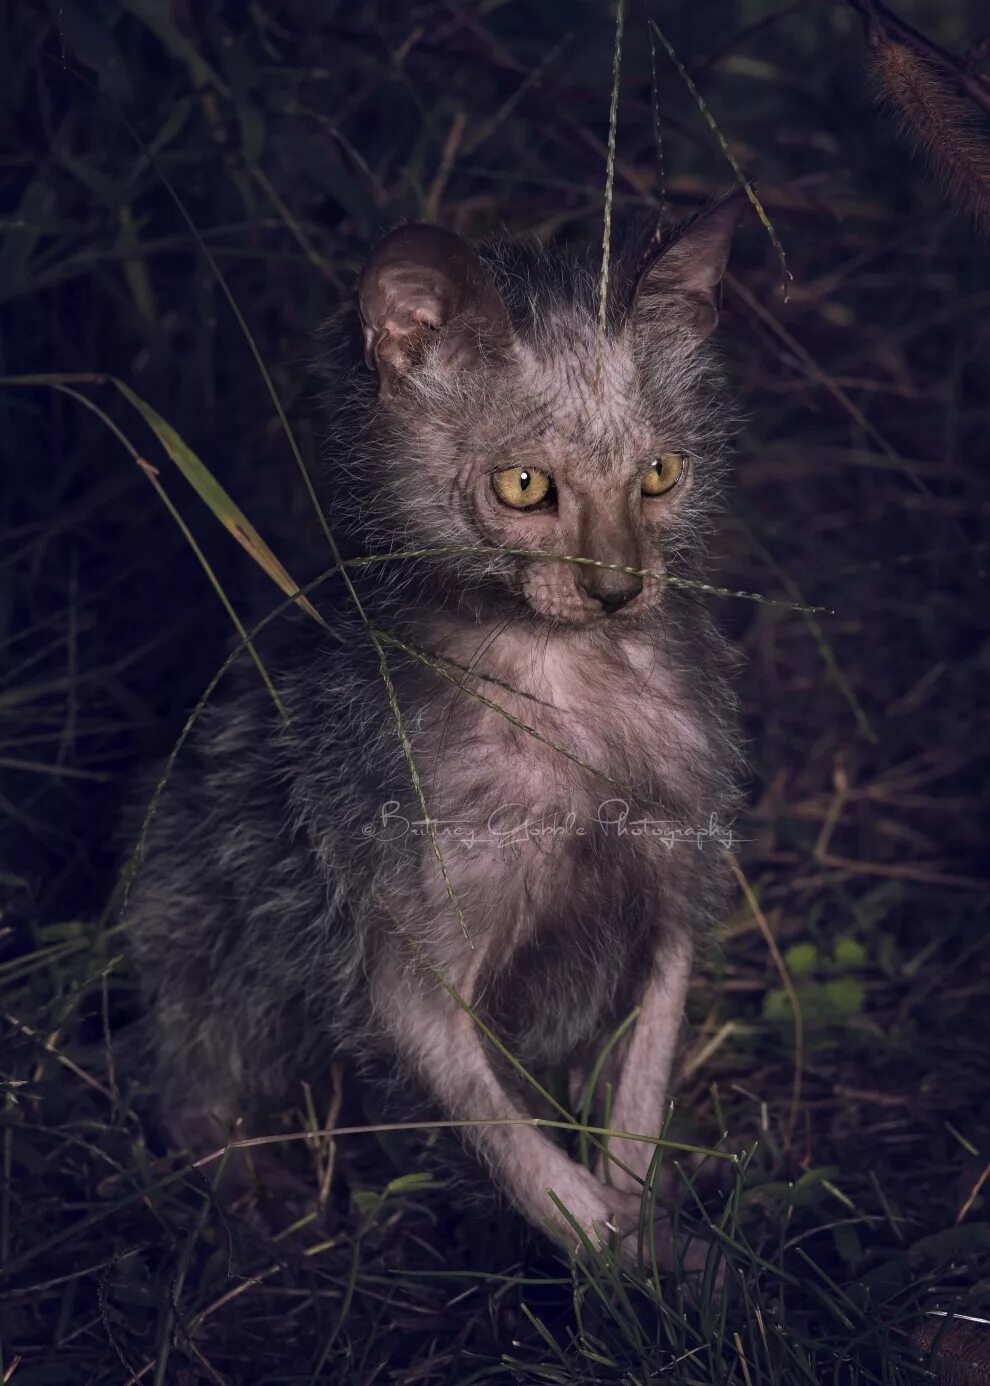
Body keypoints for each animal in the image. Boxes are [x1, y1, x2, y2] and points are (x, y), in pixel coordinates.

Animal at [125, 189, 743, 1269]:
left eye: (663, 474)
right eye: (525, 487)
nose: (617, 590)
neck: (570, 694)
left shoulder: (677, 894)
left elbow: (638, 1103)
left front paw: (661, 1245)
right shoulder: (403, 948)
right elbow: (523, 1159)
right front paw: (620, 1256)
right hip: (186, 922)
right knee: (195, 1081)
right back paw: (250, 1192)